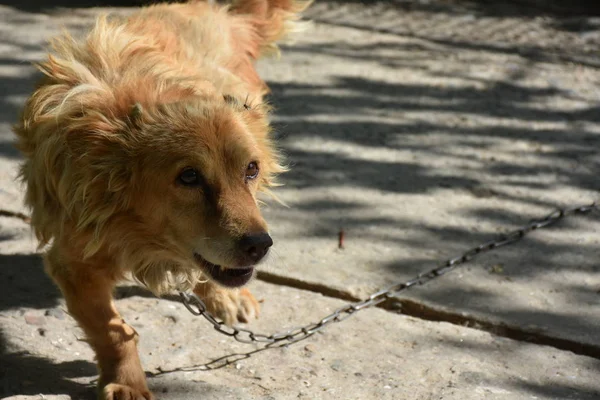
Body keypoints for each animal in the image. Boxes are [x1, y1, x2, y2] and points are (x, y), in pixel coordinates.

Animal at [12, 1, 312, 398]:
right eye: (189, 177)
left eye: (251, 169)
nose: (259, 246)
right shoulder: (73, 263)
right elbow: (114, 331)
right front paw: (127, 381)